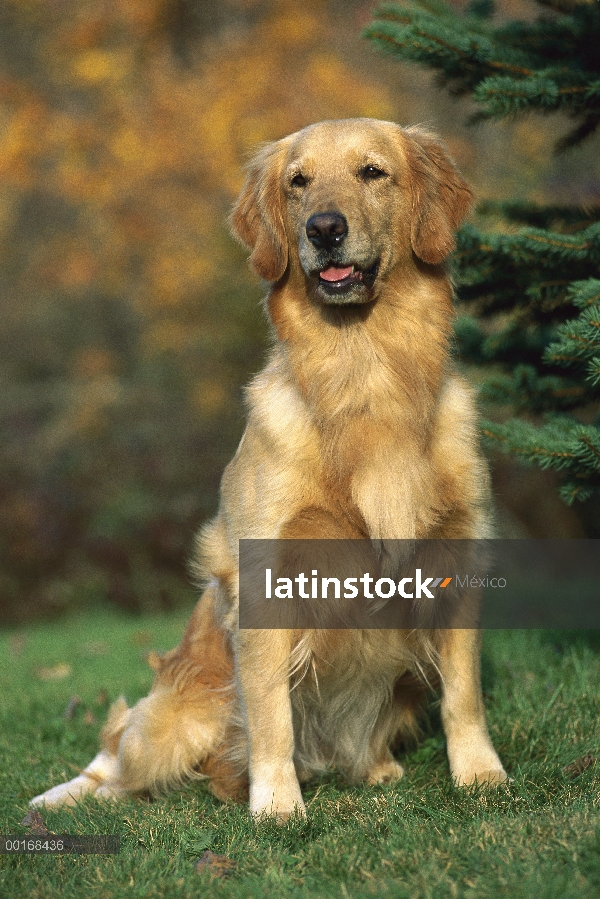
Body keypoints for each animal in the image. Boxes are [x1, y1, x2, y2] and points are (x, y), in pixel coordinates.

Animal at [31, 119, 506, 824]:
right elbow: (271, 715)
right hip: (166, 722)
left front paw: (480, 776)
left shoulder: (457, 549)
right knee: (118, 767)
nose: (324, 228)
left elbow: (464, 694)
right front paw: (278, 806)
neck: (366, 375)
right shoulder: (265, 577)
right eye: (297, 182)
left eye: (372, 172)